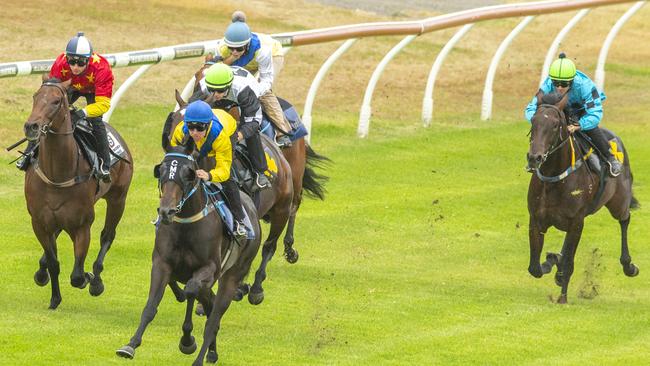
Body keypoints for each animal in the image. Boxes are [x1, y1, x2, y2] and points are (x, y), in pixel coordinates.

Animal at [22, 80, 133, 308]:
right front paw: (54, 298)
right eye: (35, 96)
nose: (31, 126)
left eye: (56, 101)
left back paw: (96, 279)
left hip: (118, 198)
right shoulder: (39, 222)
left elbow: (77, 276)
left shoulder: (82, 225)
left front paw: (89, 279)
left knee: (107, 235)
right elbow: (54, 262)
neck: (57, 175)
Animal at [116, 142, 260, 364]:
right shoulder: (162, 263)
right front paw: (130, 345)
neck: (186, 224)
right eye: (161, 171)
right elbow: (151, 306)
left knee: (213, 318)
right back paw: (211, 352)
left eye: (188, 174)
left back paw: (200, 357)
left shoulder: (208, 268)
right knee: (208, 305)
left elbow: (192, 290)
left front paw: (187, 340)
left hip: (233, 273)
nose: (166, 211)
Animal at [165, 93, 294, 304]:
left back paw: (256, 288)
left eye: (195, 125)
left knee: (269, 245)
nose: (179, 145)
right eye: (174, 119)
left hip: (281, 209)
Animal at [524, 91, 636, 304]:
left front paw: (562, 298)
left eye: (555, 125)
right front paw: (553, 261)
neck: (554, 180)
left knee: (625, 219)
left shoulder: (577, 222)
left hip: (618, 201)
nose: (535, 158)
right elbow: (534, 268)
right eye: (533, 121)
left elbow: (568, 262)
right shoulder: (536, 220)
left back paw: (629, 265)